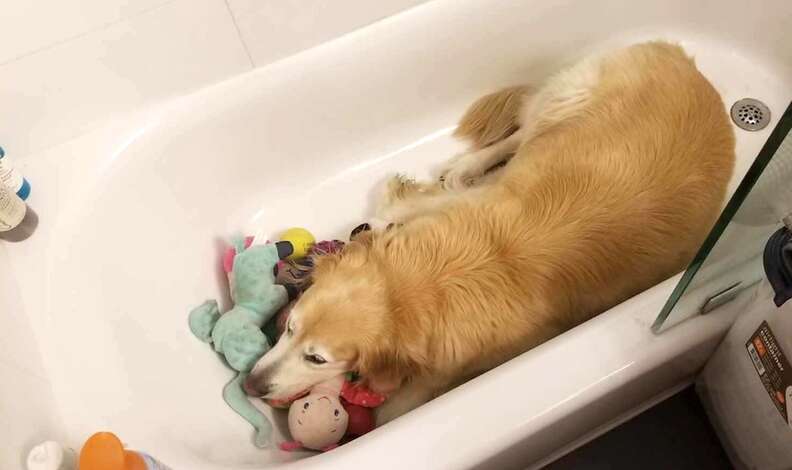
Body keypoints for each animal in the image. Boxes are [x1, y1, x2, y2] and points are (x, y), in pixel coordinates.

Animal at [246, 42, 736, 424]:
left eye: (316, 357)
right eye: (290, 327)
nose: (252, 384)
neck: (429, 283)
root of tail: (690, 64)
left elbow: (395, 409)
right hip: (564, 102)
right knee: (517, 136)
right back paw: (464, 165)